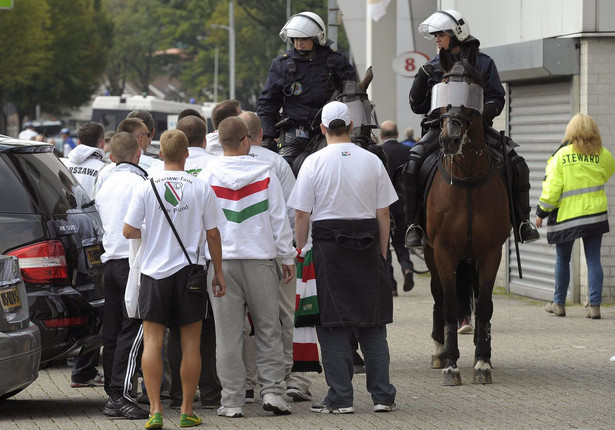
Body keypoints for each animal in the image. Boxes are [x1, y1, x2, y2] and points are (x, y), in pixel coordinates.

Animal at [424, 51, 516, 386]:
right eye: (443, 85)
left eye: (472, 89)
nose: (449, 139)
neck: (466, 180)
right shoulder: (443, 251)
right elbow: (450, 303)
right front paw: (451, 364)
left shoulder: (490, 252)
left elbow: (486, 305)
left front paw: (482, 363)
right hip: (430, 254)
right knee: (439, 297)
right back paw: (439, 352)